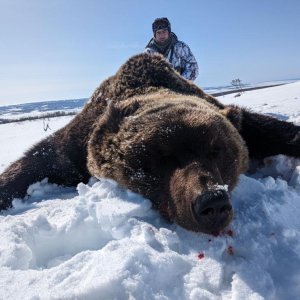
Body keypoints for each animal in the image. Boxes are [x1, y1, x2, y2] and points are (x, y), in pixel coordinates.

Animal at [0, 52, 300, 233]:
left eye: (218, 149)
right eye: (164, 156)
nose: (212, 201)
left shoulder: (236, 118)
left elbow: (274, 130)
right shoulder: (78, 143)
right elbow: (40, 160)